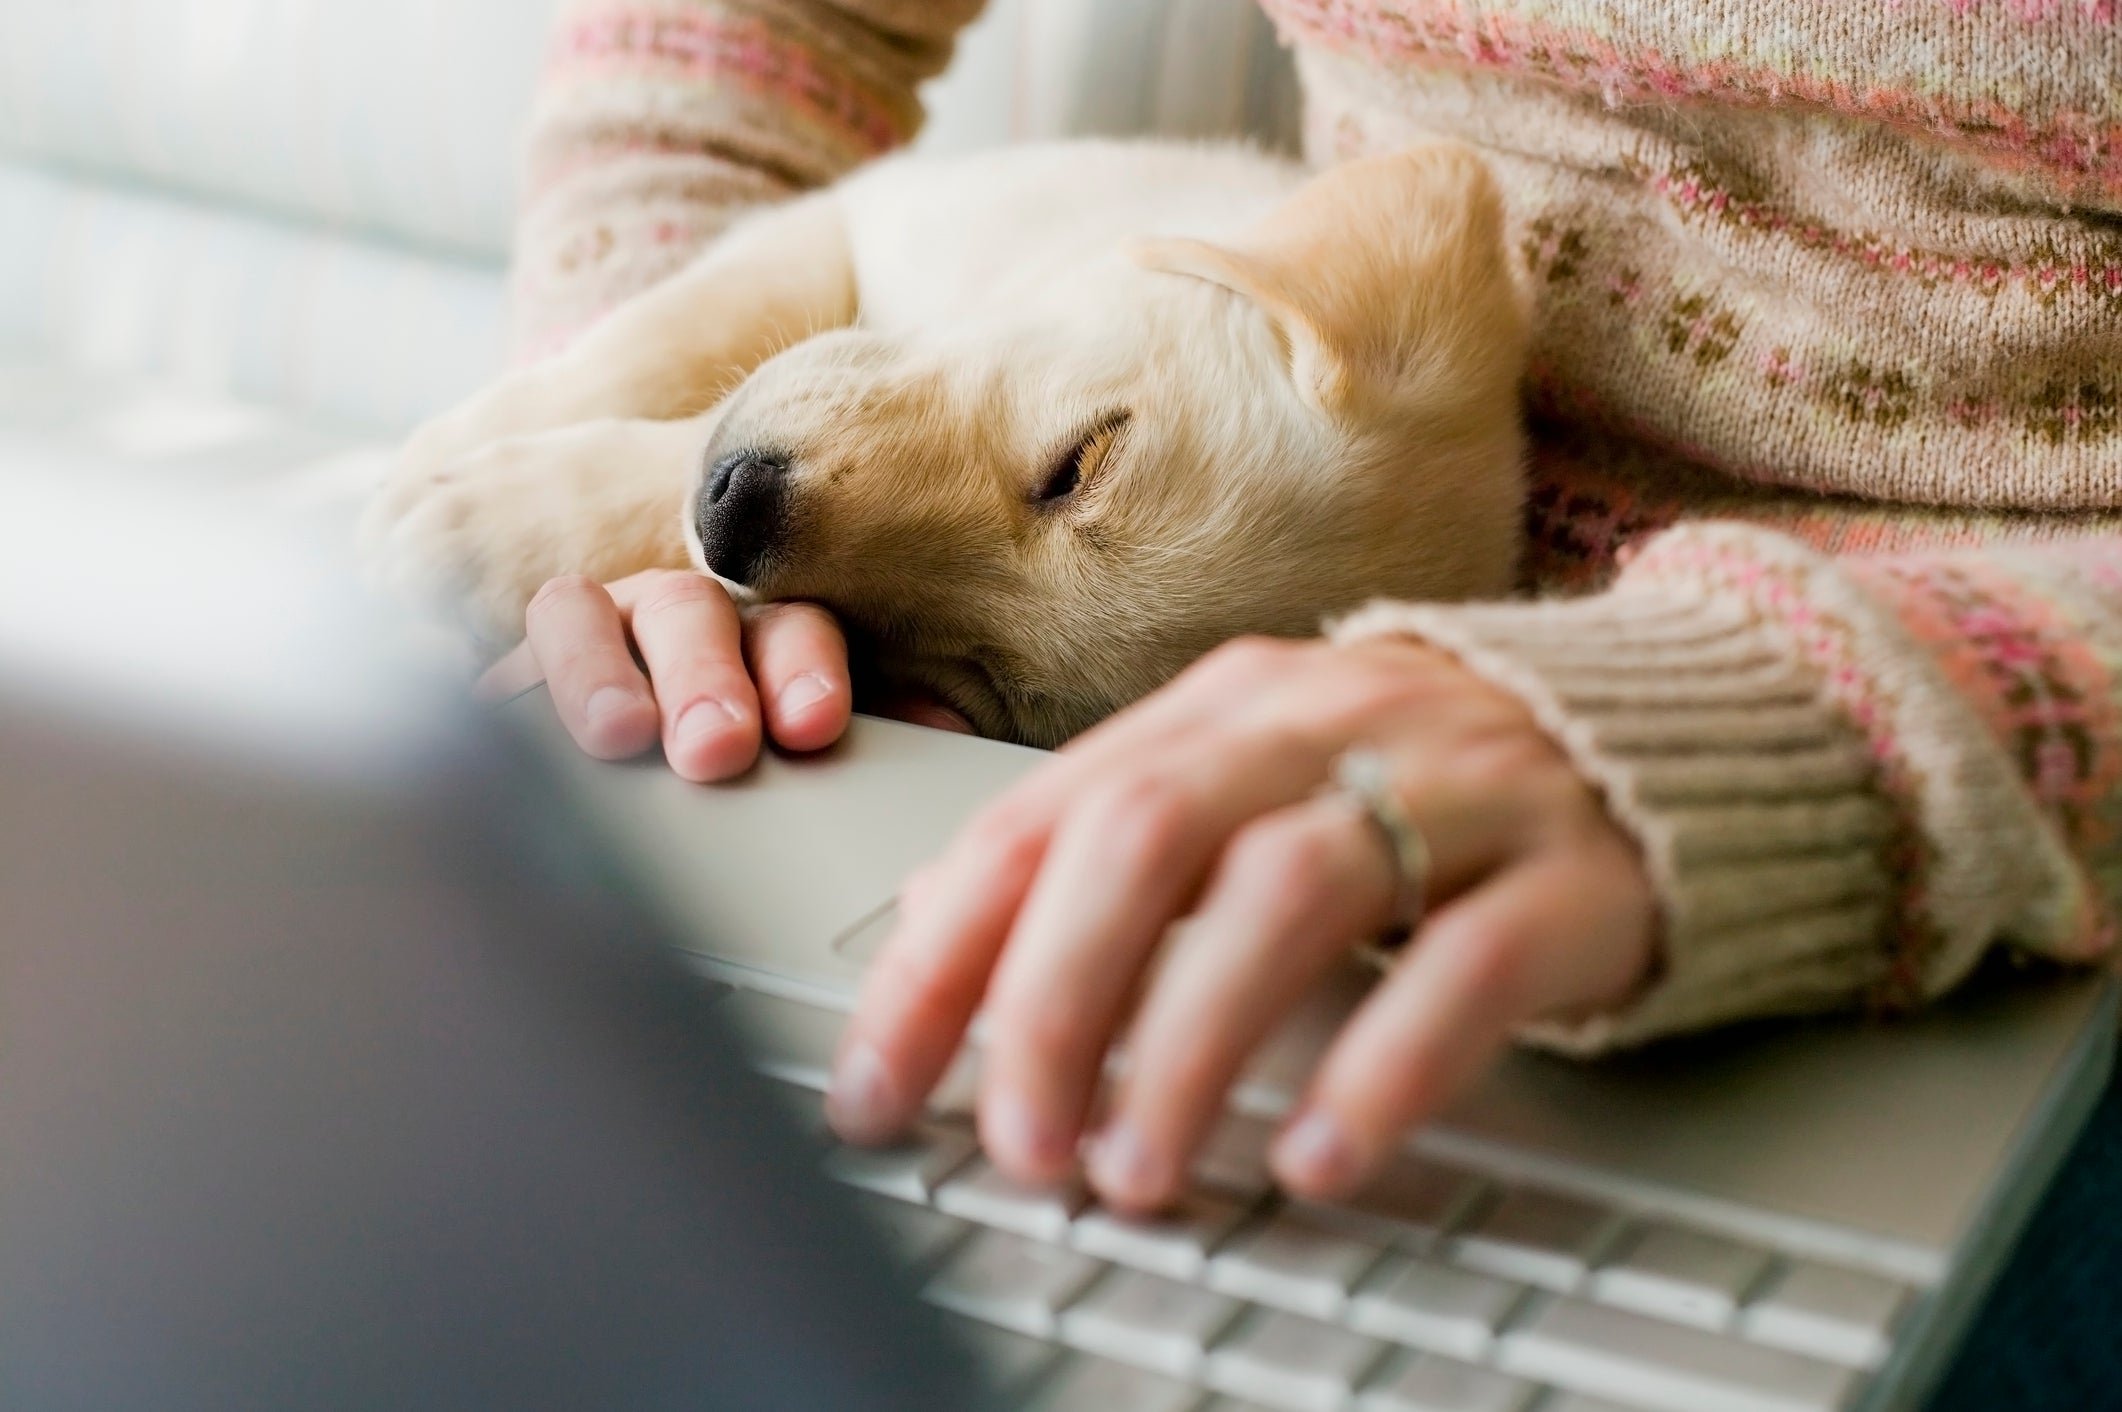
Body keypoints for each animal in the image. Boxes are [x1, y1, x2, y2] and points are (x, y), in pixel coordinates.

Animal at [360, 138, 1527, 743]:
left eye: (984, 684)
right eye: (1079, 462)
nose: (733, 515)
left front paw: (474, 535)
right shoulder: (858, 211)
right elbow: (654, 343)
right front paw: (418, 462)